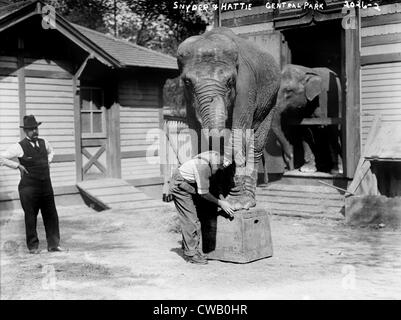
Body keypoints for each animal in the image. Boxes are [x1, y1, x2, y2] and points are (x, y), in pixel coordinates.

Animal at [175, 26, 290, 210]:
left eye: (230, 82)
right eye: (187, 82)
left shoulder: (246, 87)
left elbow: (238, 133)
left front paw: (236, 204)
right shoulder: (188, 100)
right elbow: (196, 135)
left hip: (271, 101)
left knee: (256, 145)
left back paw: (248, 201)